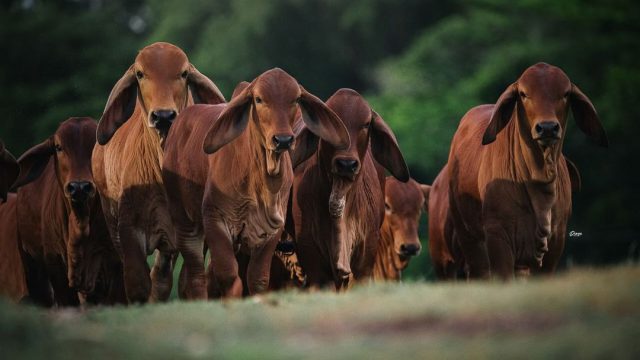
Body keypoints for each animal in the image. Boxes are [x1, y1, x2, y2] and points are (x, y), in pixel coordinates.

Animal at [92, 42, 225, 302]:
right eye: (140, 74)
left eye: (183, 73)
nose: (163, 116)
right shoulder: (129, 229)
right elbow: (137, 284)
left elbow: (190, 283)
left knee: (162, 276)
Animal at [162, 69, 348, 300]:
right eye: (258, 99)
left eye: (296, 99)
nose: (283, 140)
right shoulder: (215, 219)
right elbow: (228, 275)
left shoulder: (272, 227)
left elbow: (258, 278)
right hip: (185, 223)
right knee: (195, 274)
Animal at [444, 63, 604, 280]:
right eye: (523, 93)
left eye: (565, 94)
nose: (547, 127)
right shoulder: (498, 236)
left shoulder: (556, 241)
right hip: (468, 237)